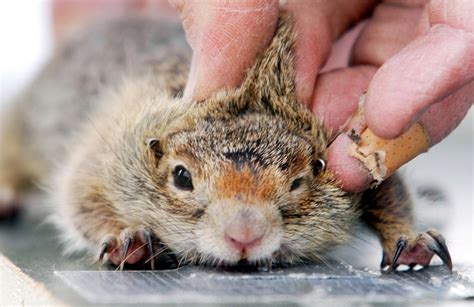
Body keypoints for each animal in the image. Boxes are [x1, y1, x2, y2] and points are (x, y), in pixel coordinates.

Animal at [0, 13, 452, 272]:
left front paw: (411, 241)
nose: (244, 235)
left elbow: (389, 189)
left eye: (297, 183)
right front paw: (128, 239)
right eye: (181, 177)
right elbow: (82, 197)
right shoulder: (109, 147)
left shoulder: (345, 148)